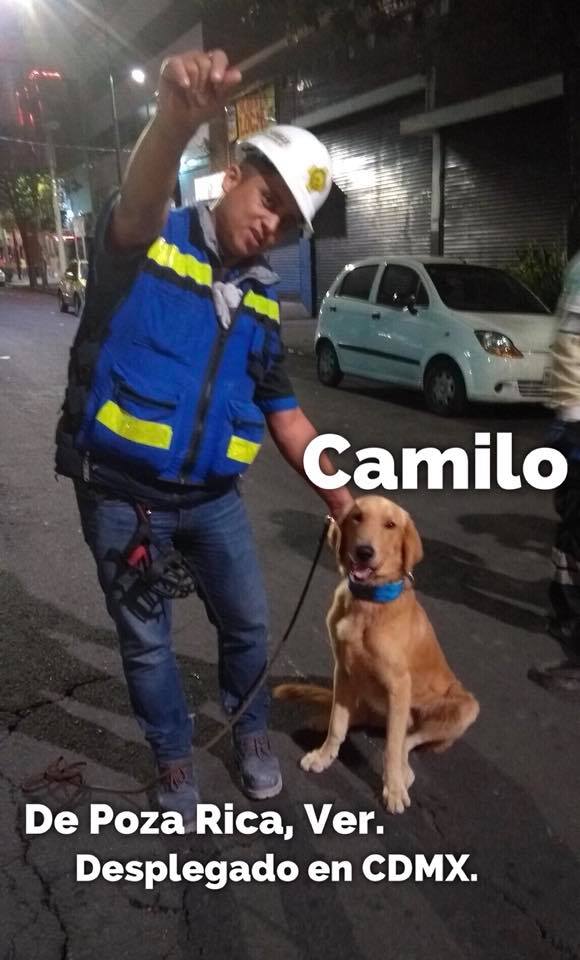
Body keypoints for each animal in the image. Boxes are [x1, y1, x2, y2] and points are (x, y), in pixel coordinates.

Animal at [275, 496, 479, 814]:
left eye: (390, 525)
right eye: (357, 517)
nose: (364, 551)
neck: (368, 603)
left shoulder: (399, 686)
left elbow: (392, 748)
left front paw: (392, 788)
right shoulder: (343, 670)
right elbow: (338, 725)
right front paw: (324, 755)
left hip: (465, 707)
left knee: (406, 740)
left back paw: (403, 772)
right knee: (356, 715)